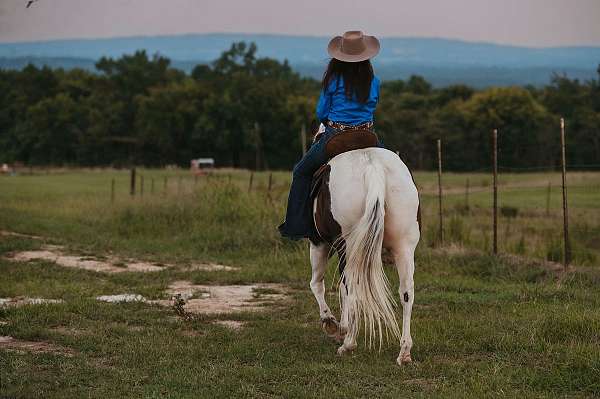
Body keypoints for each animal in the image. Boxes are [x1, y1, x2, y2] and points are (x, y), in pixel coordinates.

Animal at [310, 147, 418, 366]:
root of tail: (372, 166)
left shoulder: (318, 242)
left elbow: (317, 284)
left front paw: (331, 324)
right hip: (404, 246)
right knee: (407, 293)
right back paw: (404, 352)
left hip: (350, 249)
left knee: (352, 290)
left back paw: (348, 345)